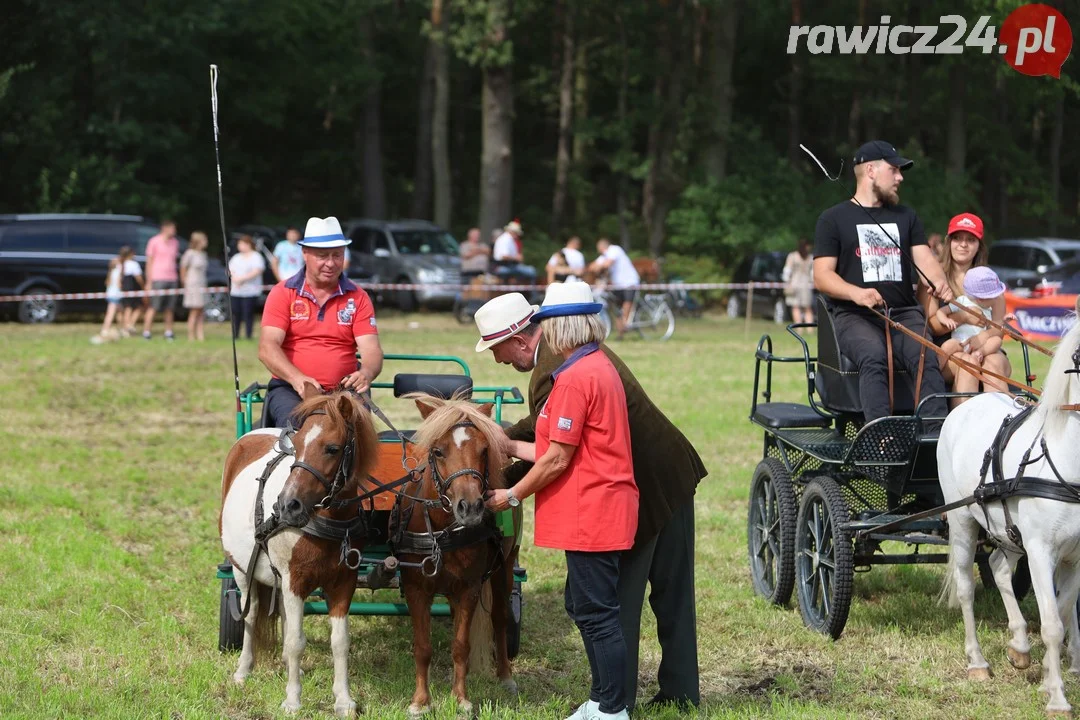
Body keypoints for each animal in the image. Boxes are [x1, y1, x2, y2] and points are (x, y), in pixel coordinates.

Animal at [217, 390, 378, 716]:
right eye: (298, 443)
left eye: (332, 448)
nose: (287, 505)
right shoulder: (295, 581)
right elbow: (295, 641)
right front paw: (292, 700)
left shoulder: (343, 582)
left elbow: (339, 641)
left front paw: (344, 700)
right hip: (241, 571)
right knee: (252, 614)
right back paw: (243, 669)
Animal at [386, 397, 520, 716]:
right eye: (437, 451)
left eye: (484, 450)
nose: (470, 508)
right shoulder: (416, 588)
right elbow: (422, 646)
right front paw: (420, 701)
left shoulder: (469, 588)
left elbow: (461, 646)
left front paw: (460, 699)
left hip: (505, 567)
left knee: (499, 618)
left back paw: (505, 676)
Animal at [937, 323, 1080, 716]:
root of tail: (966, 404)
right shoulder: (1041, 550)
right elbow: (1052, 624)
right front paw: (1057, 698)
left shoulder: (1074, 556)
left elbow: (1062, 613)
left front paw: (1047, 673)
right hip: (962, 521)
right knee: (966, 587)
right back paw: (977, 663)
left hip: (1009, 531)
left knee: (999, 566)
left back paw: (1019, 647)